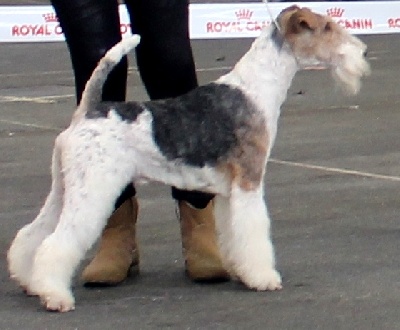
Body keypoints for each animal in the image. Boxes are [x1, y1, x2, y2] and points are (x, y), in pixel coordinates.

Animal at [7, 5, 368, 312]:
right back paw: (55, 295)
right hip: (92, 188)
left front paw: (241, 271)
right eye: (327, 27)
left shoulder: (229, 192)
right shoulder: (249, 181)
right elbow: (254, 233)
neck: (256, 87)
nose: (363, 53)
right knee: (56, 242)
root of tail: (87, 112)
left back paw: (29, 281)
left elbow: (234, 234)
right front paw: (264, 278)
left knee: (32, 234)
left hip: (65, 187)